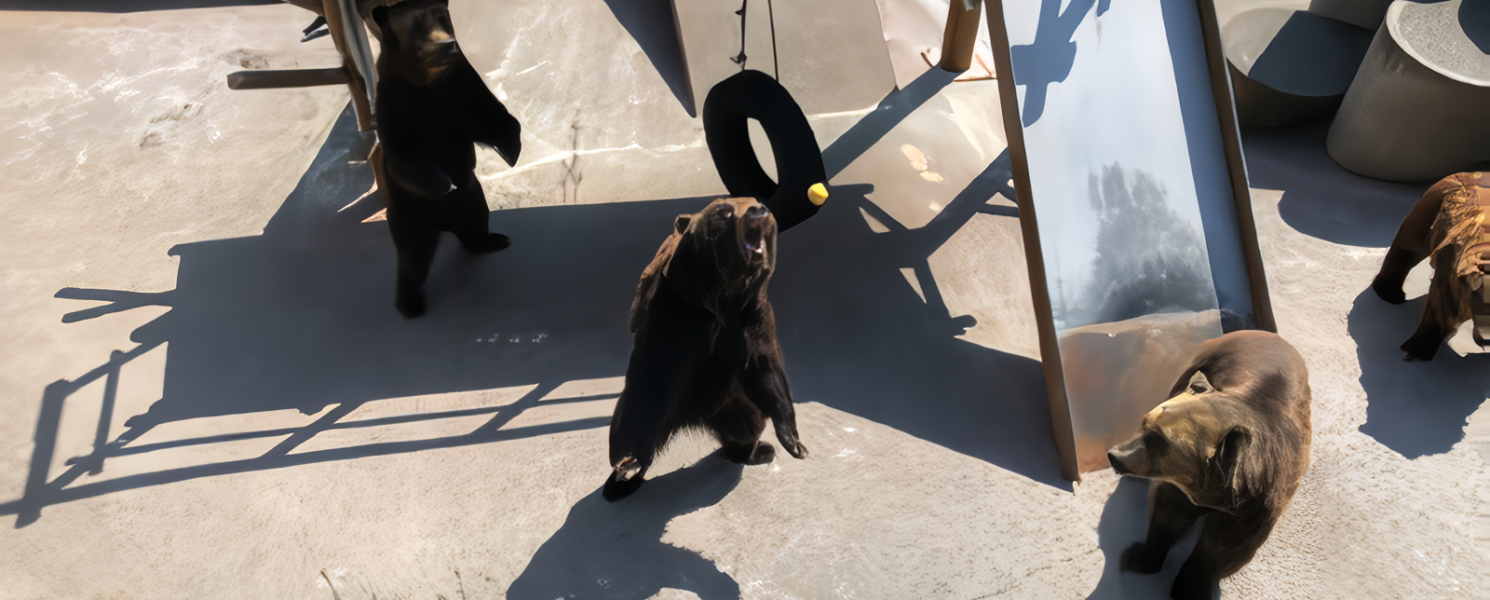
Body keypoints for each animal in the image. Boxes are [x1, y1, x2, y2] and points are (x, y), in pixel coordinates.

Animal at [369, 0, 521, 320]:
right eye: (420, 21)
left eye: (441, 16)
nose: (446, 43)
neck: (427, 76)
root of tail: (446, 225)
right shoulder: (398, 109)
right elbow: (406, 157)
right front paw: (443, 183)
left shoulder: (462, 92)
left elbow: (495, 119)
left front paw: (511, 151)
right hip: (410, 217)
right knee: (413, 259)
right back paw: (409, 304)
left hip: (474, 201)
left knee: (475, 228)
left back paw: (494, 239)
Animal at [604, 198, 810, 503]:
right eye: (723, 211)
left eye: (758, 201)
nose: (758, 210)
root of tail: (691, 416)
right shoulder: (676, 313)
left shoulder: (754, 319)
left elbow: (768, 375)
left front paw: (794, 443)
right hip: (658, 404)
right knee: (635, 432)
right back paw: (623, 473)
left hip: (730, 405)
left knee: (747, 427)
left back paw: (759, 449)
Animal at [1102, 332, 1311, 600]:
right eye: (1144, 423)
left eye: (1160, 441)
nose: (1115, 455)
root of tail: (1271, 335)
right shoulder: (1181, 489)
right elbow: (1166, 516)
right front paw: (1137, 557)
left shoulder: (1253, 510)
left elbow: (1221, 549)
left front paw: (1190, 588)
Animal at [1370, 170, 1490, 361]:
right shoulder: (1452, 280)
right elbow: (1441, 310)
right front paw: (1418, 349)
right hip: (1423, 219)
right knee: (1403, 251)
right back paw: (1390, 292)